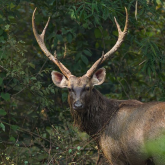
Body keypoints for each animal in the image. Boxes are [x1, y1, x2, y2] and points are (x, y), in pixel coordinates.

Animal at [31, 7, 165, 164]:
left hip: (158, 152)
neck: (99, 128)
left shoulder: (115, 156)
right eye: (69, 89)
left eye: (88, 88)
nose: (78, 105)